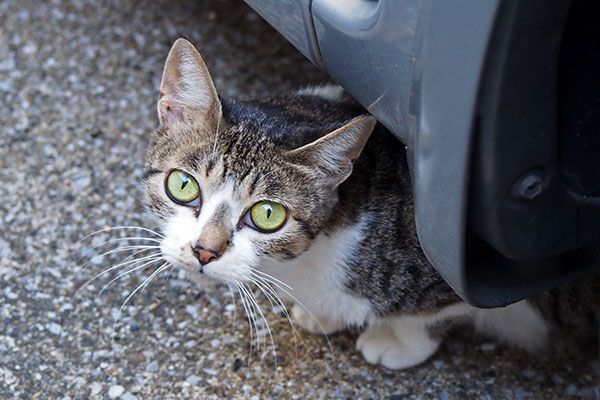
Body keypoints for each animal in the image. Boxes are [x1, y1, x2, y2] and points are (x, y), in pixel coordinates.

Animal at [141, 39, 596, 370]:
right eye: (183, 186)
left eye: (267, 215)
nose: (204, 250)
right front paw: (323, 314)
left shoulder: (477, 271)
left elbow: (435, 313)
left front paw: (397, 341)